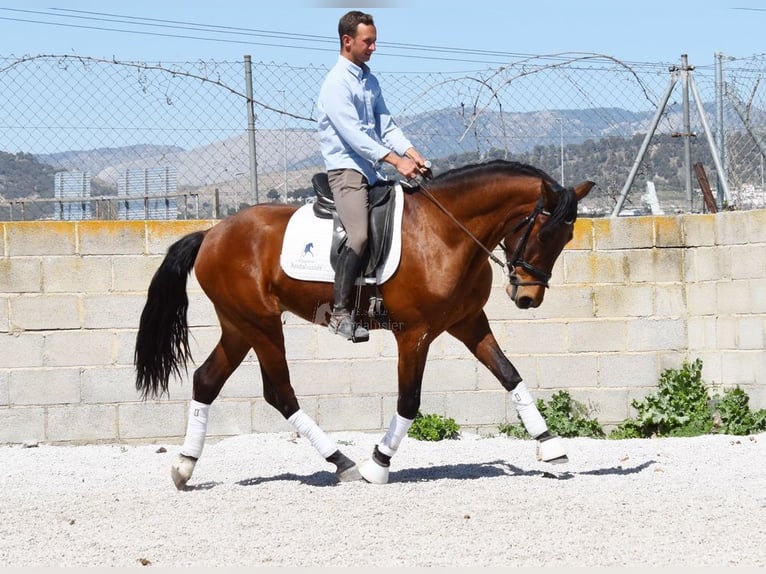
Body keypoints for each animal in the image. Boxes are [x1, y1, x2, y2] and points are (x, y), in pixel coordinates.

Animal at [134, 159, 595, 488]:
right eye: (543, 232)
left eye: (567, 238)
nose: (528, 298)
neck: (445, 232)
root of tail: (210, 234)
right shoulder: (415, 334)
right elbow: (409, 401)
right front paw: (379, 464)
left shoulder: (468, 322)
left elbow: (510, 375)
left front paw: (552, 449)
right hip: (260, 324)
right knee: (279, 392)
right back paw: (344, 462)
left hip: (239, 326)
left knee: (207, 380)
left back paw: (184, 466)